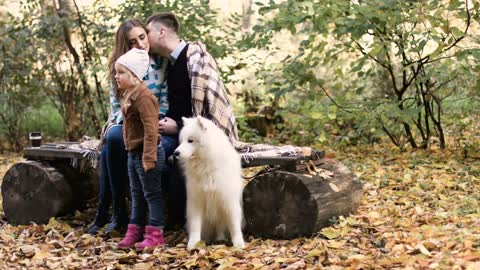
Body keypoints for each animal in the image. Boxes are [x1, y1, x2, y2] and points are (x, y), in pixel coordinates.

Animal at [174, 115, 246, 250]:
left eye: (190, 140)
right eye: (181, 141)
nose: (175, 153)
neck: (206, 166)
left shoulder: (228, 199)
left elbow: (234, 225)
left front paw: (238, 243)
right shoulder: (196, 199)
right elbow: (195, 224)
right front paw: (194, 243)